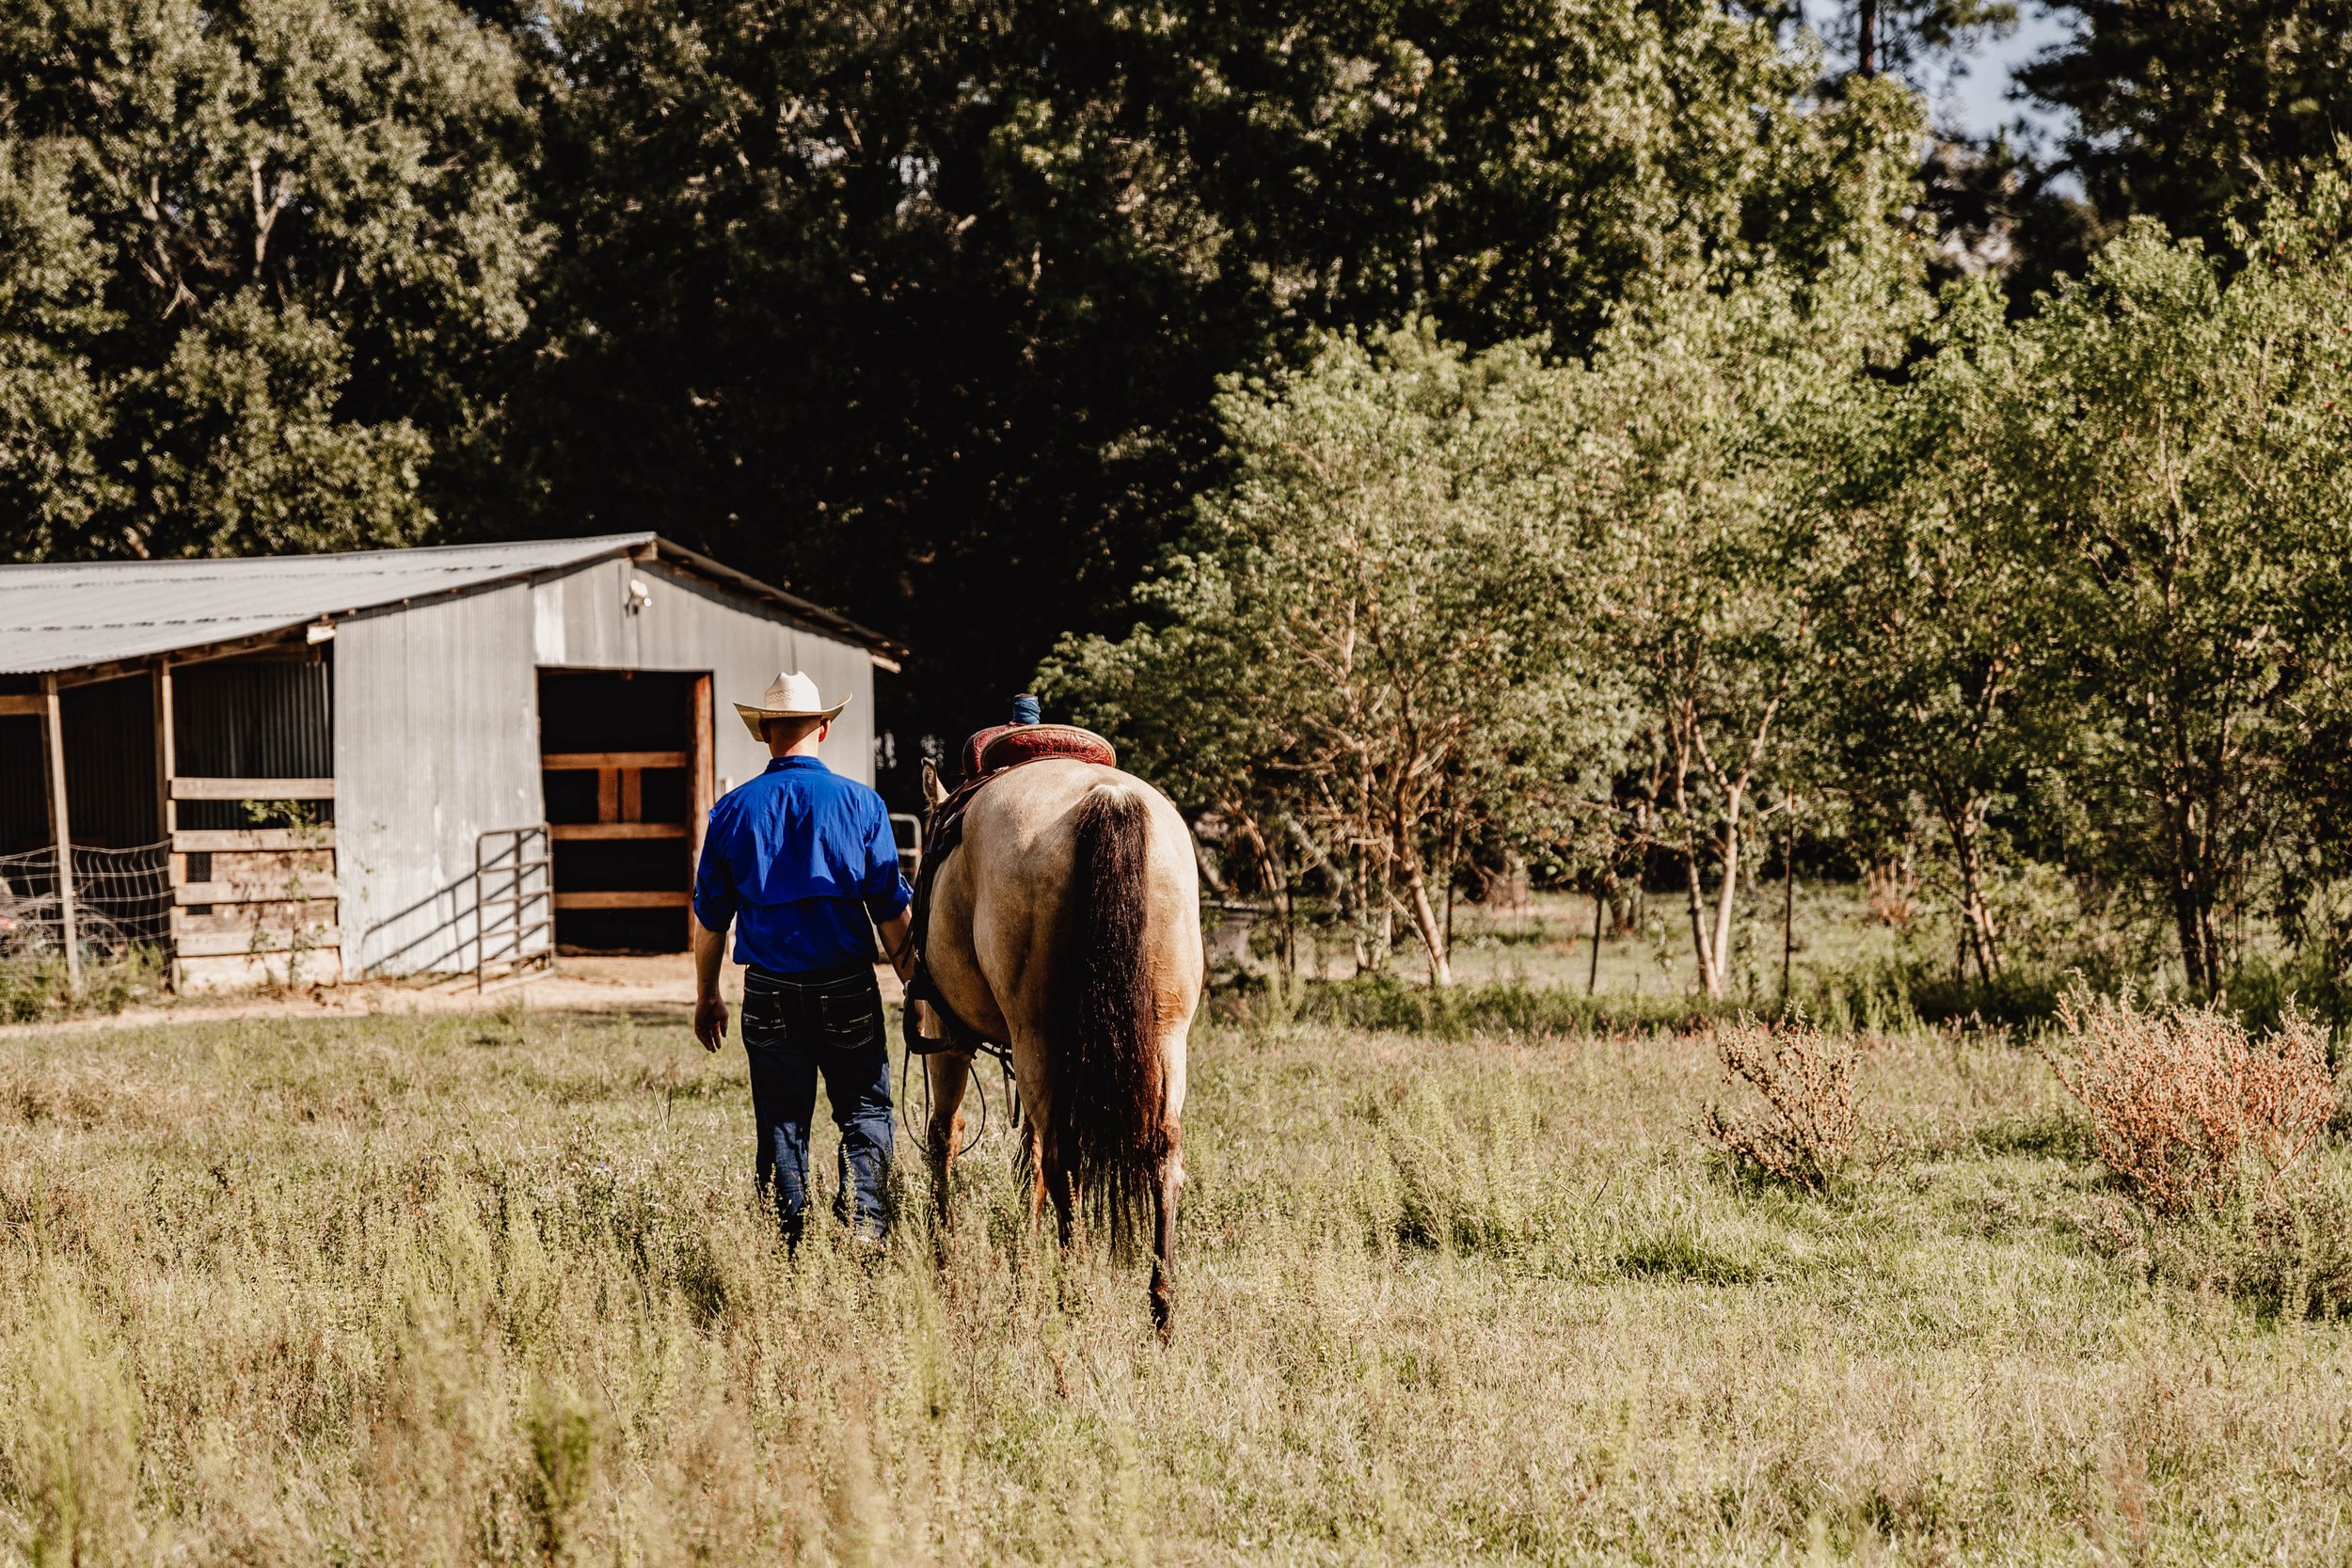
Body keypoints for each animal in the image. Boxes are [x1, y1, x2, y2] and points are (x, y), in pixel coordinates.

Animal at [913, 753, 1202, 1335]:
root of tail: (1108, 798)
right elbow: (1028, 1159)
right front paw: (1022, 1267)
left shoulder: (947, 1033)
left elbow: (945, 1136)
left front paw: (947, 1268)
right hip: (1166, 1038)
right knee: (1161, 1154)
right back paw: (1161, 1307)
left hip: (1034, 1039)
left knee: (1061, 1158)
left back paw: (1075, 1296)